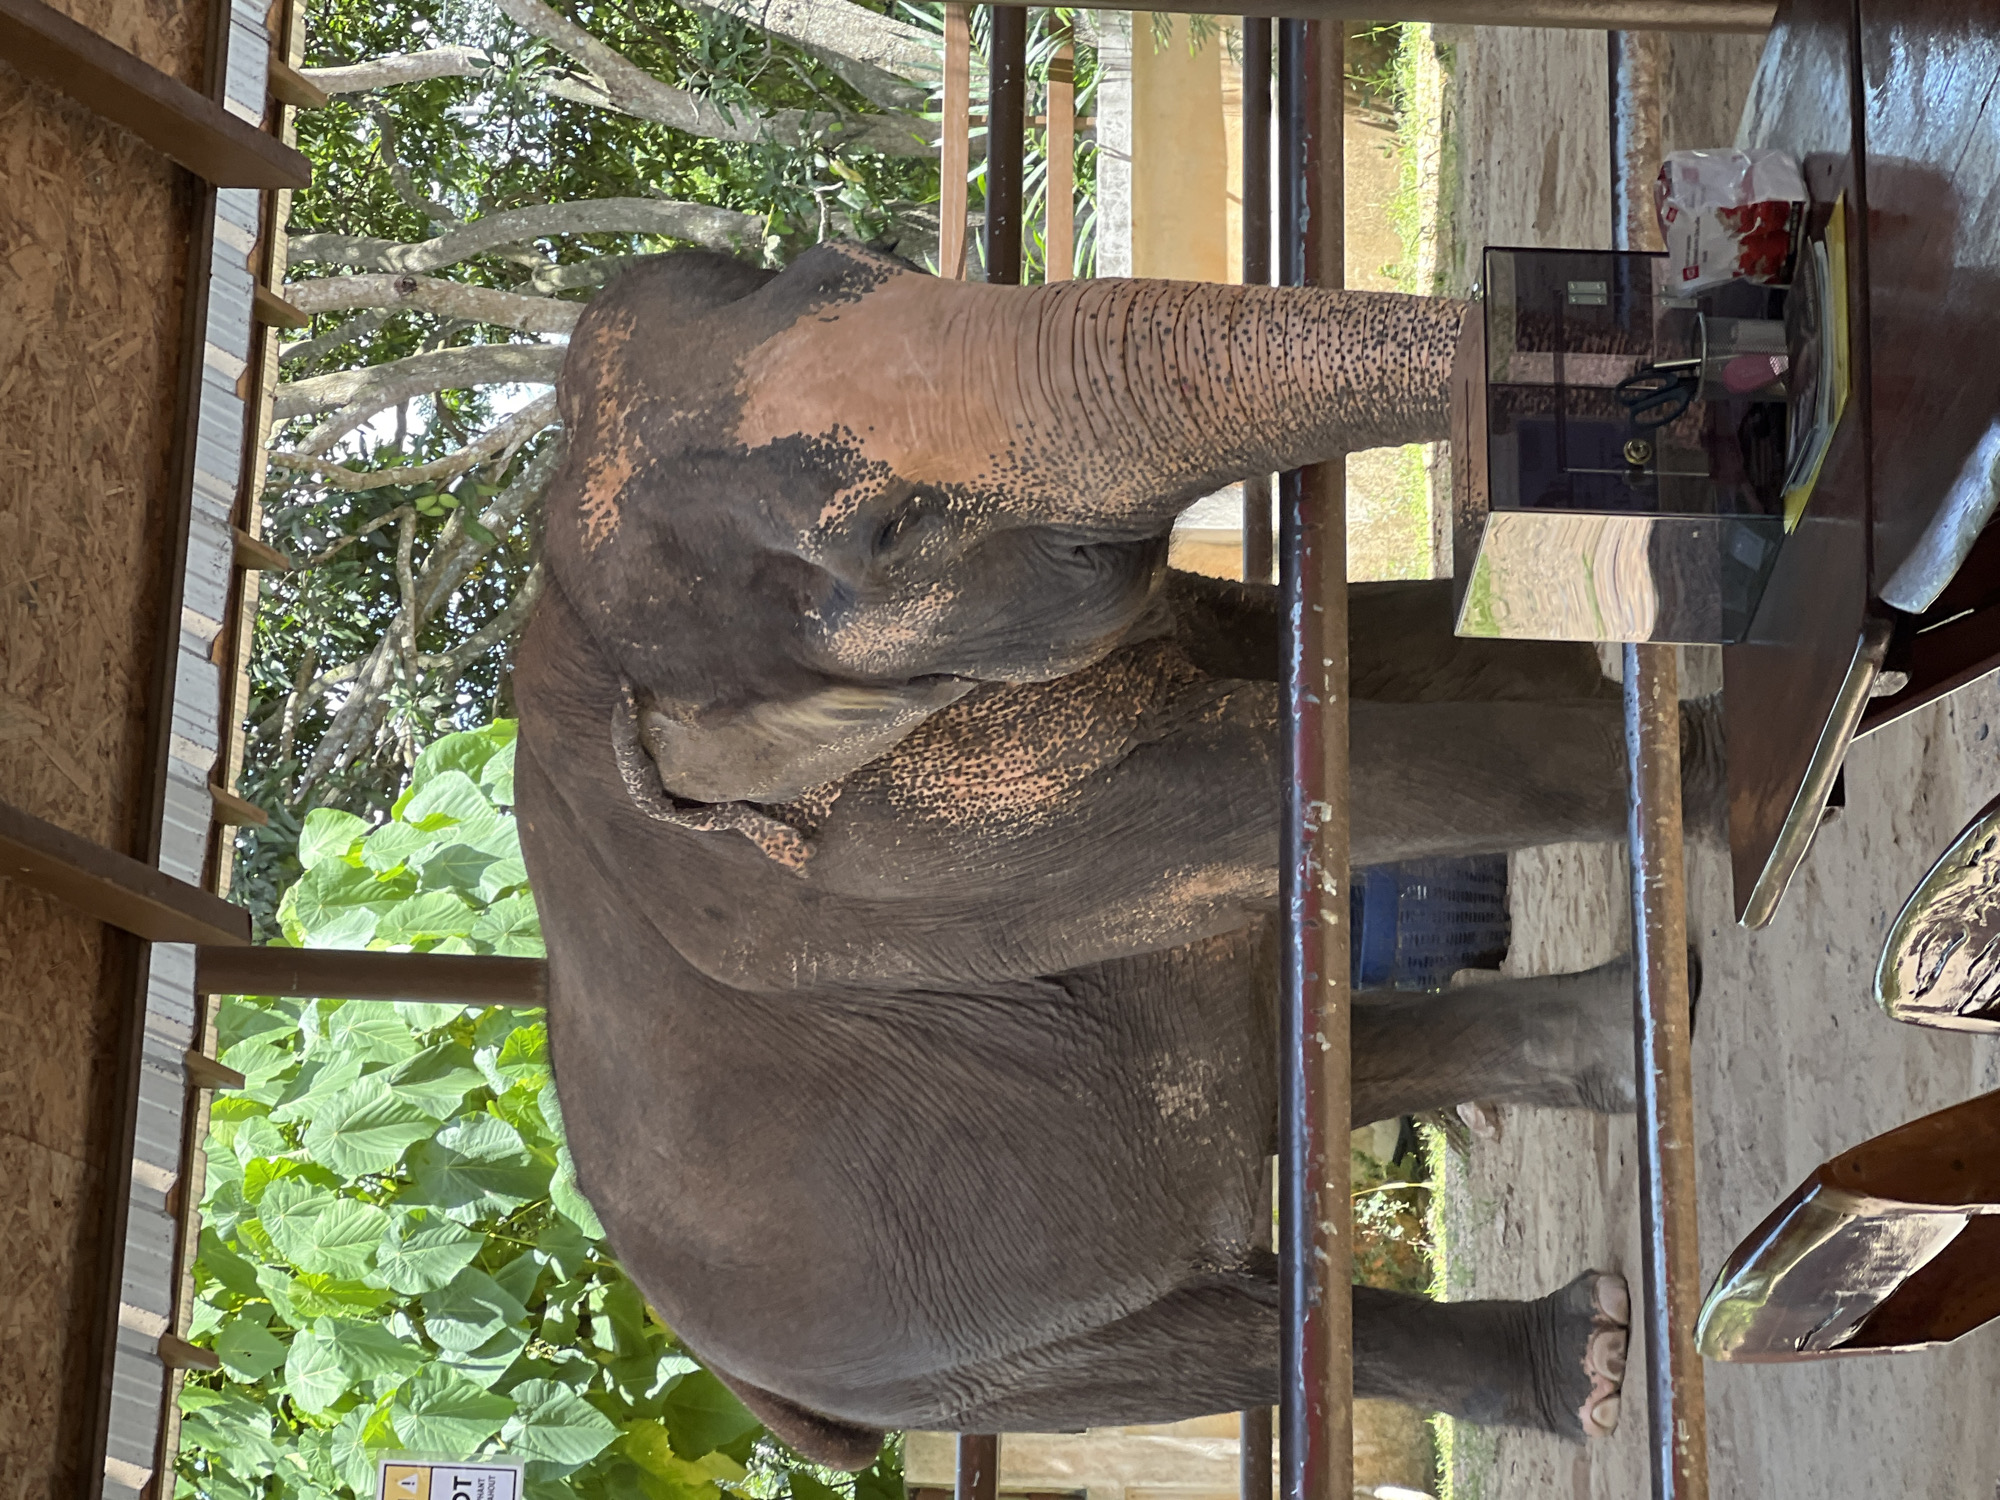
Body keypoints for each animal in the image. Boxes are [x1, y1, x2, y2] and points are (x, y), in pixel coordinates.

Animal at [512, 243, 1715, 1464]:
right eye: (893, 531)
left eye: (850, 264)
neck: (570, 621)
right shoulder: (917, 841)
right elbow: (1278, 777)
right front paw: (1721, 750)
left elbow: (1340, 640)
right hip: (953, 1361)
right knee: (1205, 1338)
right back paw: (1590, 1362)